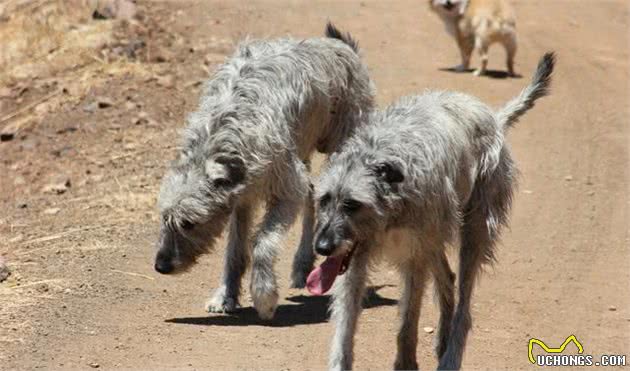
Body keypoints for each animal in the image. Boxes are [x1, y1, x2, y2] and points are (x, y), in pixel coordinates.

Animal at [154, 22, 376, 320]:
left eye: (189, 223)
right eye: (164, 218)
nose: (160, 266)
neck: (223, 131)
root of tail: (341, 46)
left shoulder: (284, 188)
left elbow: (262, 243)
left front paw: (264, 295)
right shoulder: (242, 197)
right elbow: (235, 251)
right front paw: (225, 295)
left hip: (340, 141)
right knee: (311, 193)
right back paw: (303, 264)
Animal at [308, 52, 556, 370]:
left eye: (352, 204)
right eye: (324, 200)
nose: (322, 247)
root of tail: (493, 117)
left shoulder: (413, 257)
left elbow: (407, 322)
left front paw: (406, 363)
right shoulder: (356, 260)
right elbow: (345, 327)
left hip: (474, 231)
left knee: (464, 303)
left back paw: (451, 354)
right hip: (435, 235)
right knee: (447, 278)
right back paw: (443, 340)